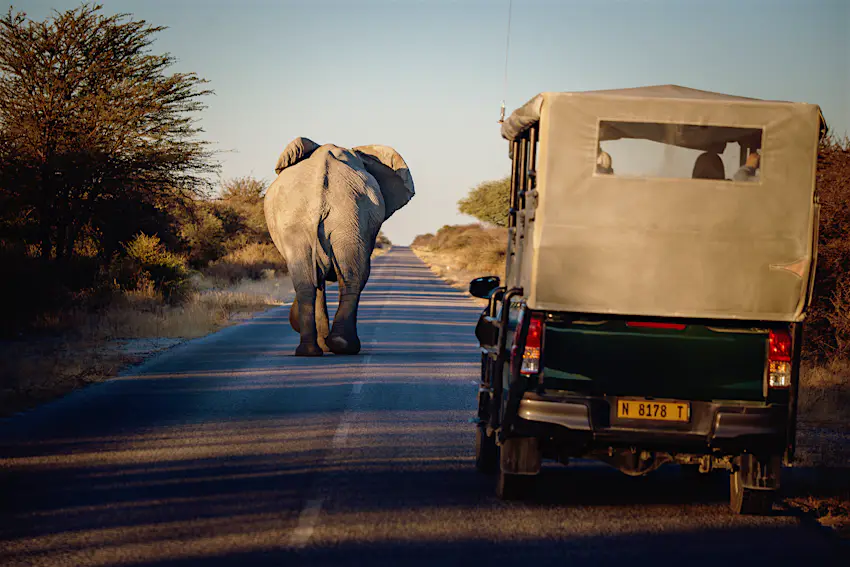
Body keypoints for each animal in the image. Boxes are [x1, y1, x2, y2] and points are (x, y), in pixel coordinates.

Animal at [264, 137, 414, 356]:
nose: (293, 321)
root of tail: (321, 192)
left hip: (340, 218)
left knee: (314, 281)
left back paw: (318, 349)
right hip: (336, 217)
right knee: (349, 277)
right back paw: (336, 347)